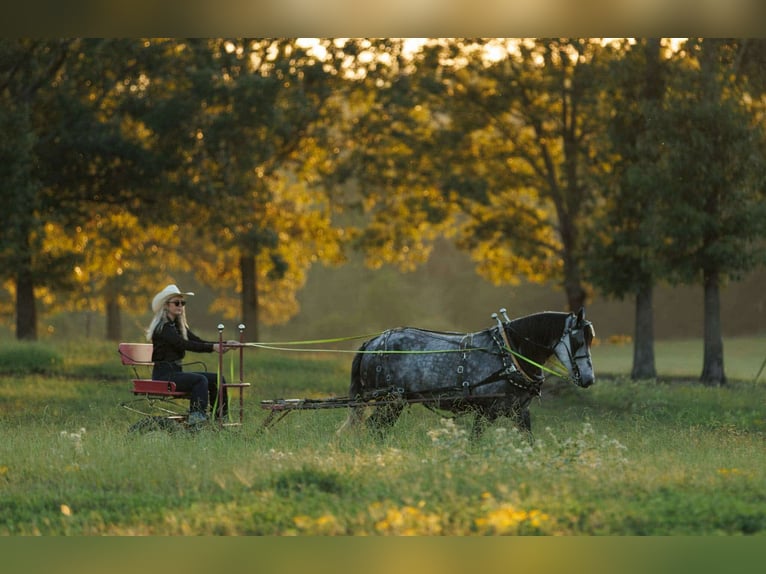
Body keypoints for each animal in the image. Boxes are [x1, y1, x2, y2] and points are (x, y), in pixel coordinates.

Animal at [339, 308, 595, 438]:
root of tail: (373, 342)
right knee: (374, 427)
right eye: (577, 339)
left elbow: (529, 441)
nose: (589, 378)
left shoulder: (520, 411)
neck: (510, 354)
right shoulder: (487, 411)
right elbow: (475, 442)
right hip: (390, 401)